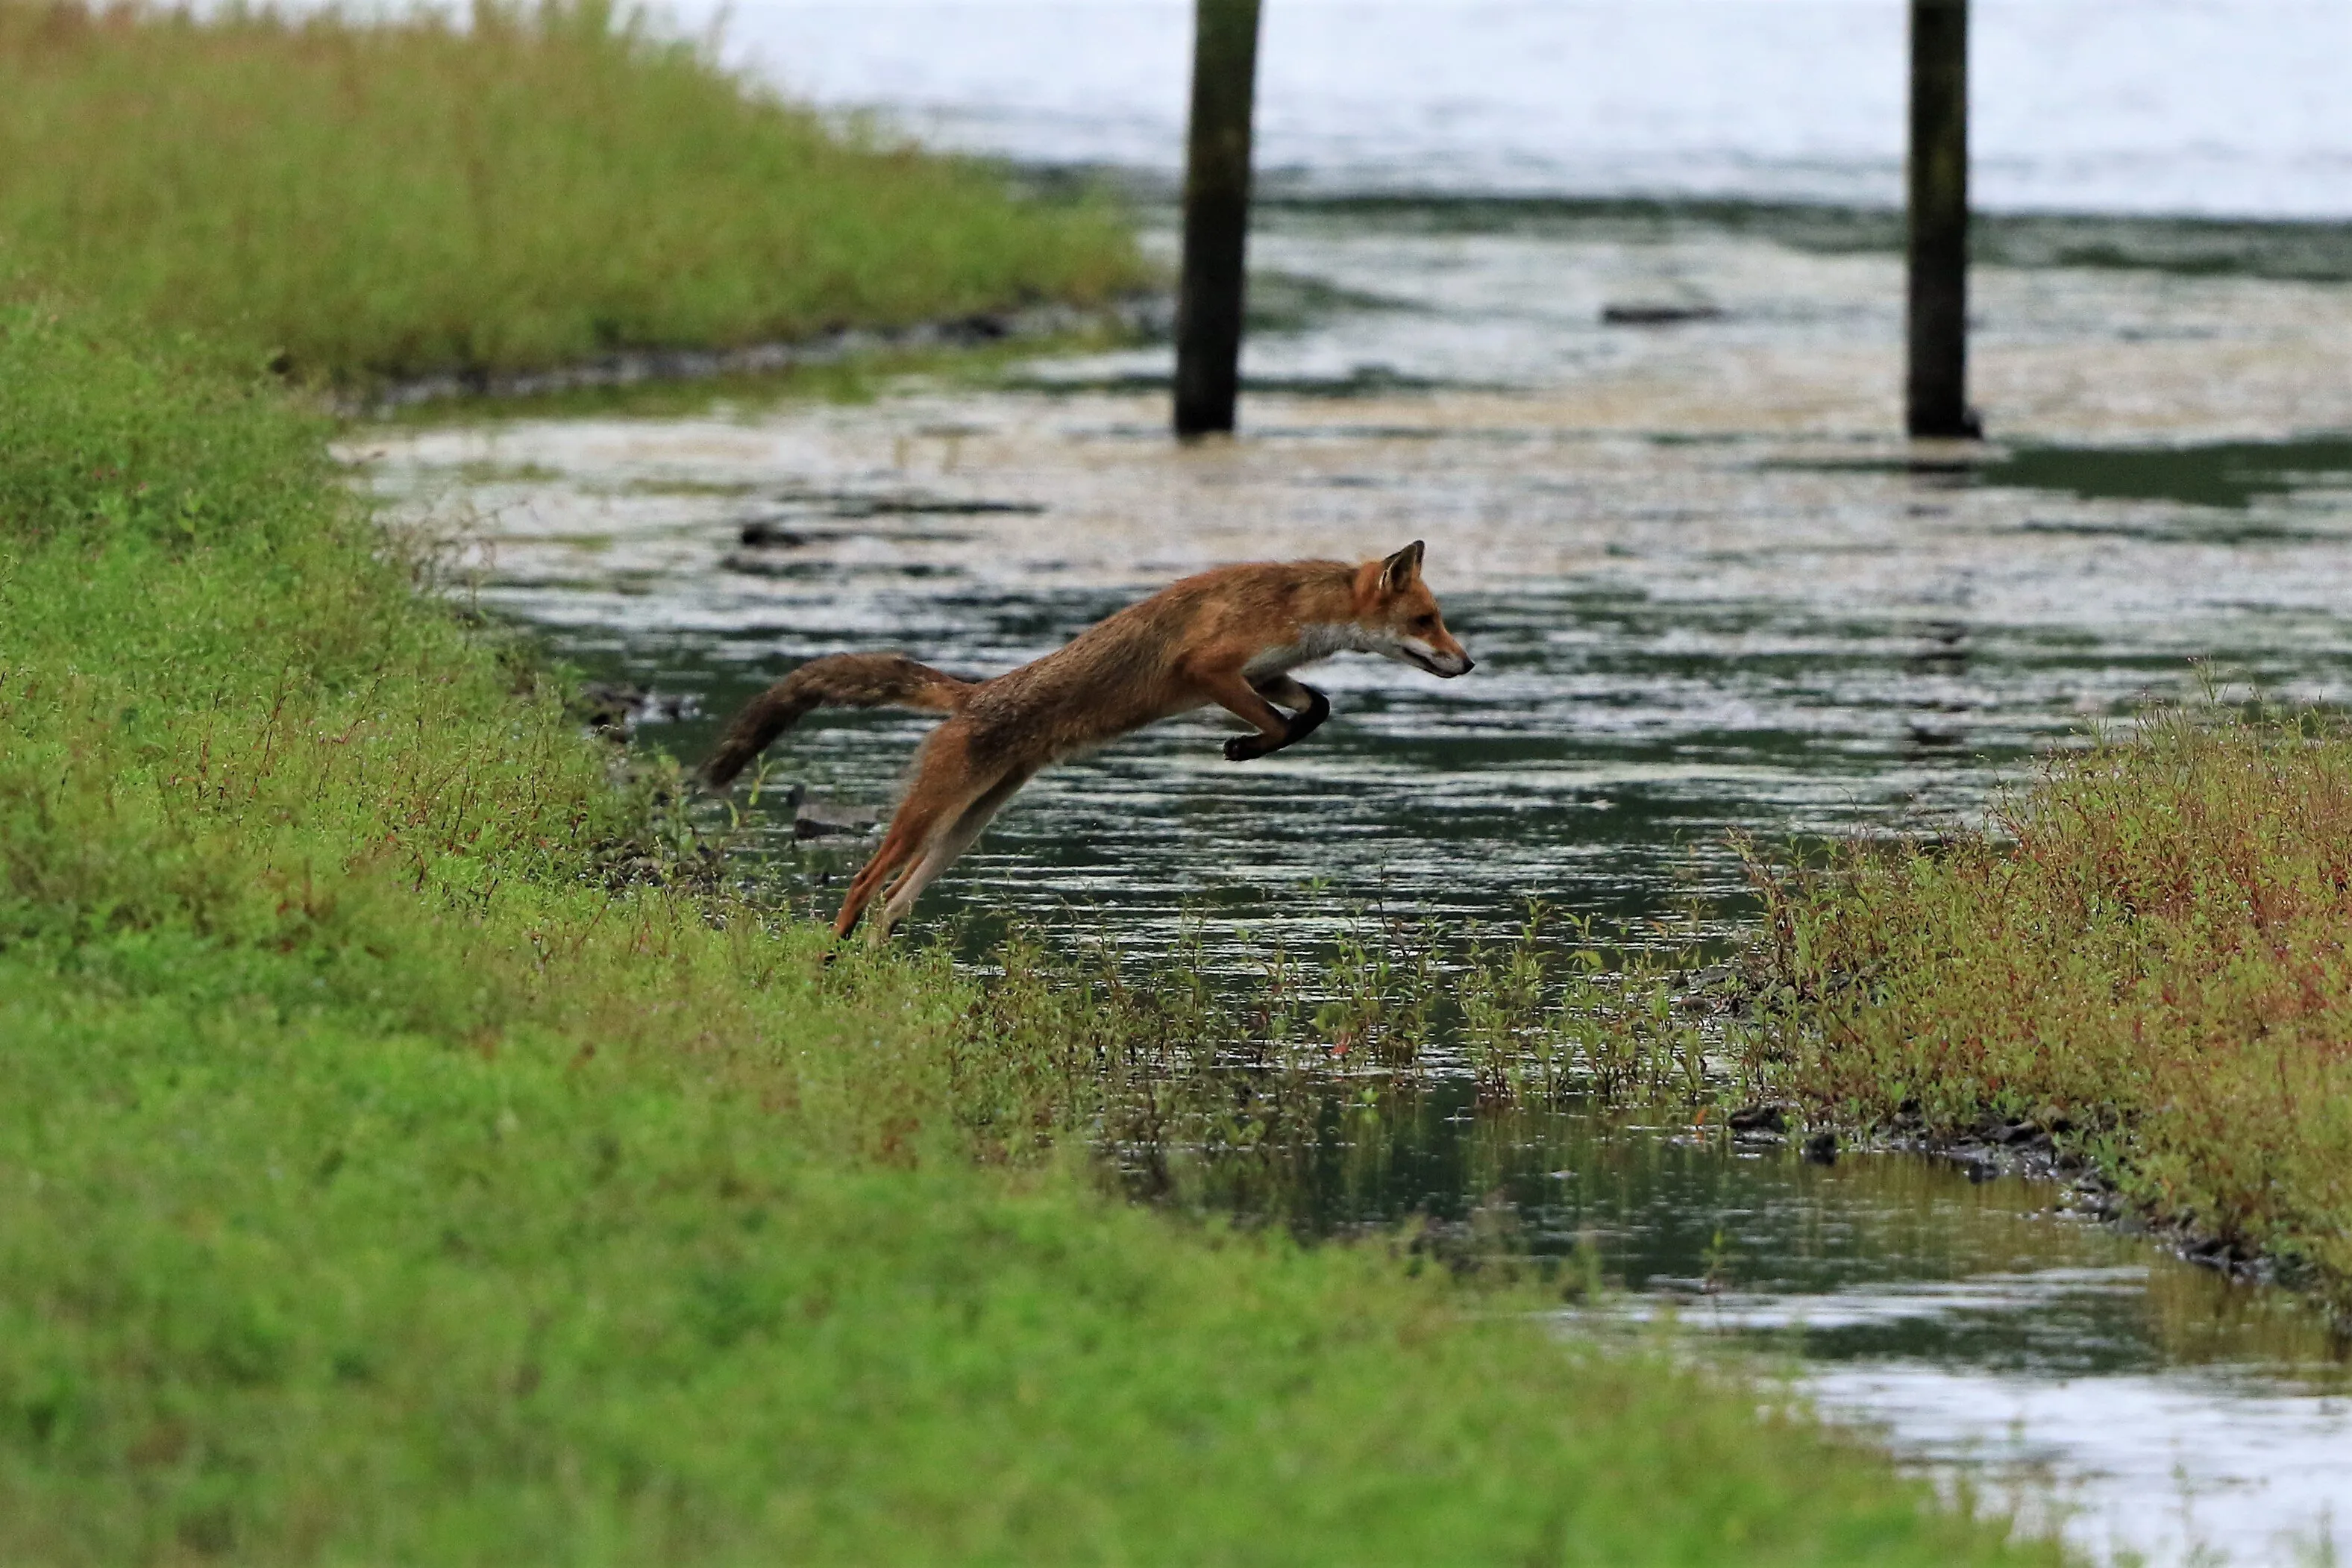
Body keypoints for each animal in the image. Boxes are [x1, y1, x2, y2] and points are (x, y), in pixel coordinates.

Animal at [701, 539, 1474, 942]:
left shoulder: (1265, 672)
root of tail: (973, 695)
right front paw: (1243, 750)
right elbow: (1281, 722)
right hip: (928, 818)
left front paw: (1258, 744)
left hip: (962, 831)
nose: (1467, 664)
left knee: (895, 902)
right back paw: (828, 965)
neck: (1291, 606)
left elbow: (1314, 708)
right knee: (863, 885)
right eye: (1426, 620)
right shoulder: (1207, 669)